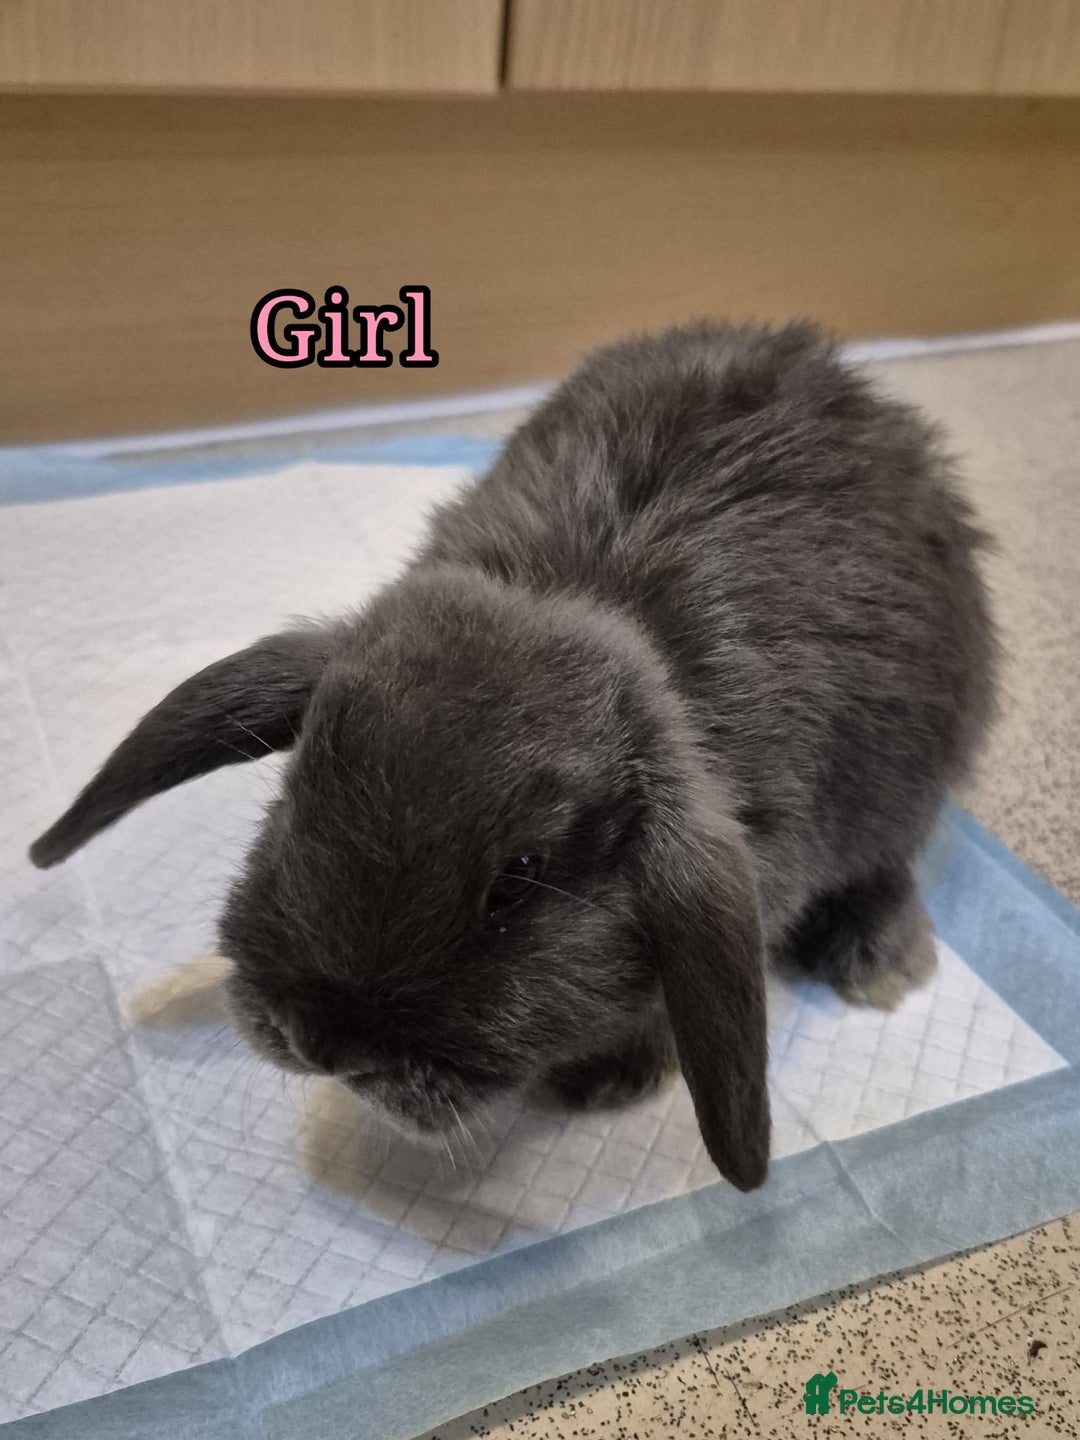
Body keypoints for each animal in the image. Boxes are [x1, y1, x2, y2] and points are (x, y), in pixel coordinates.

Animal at [29, 321, 997, 1192]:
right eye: (298, 792)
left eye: (518, 881)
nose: (325, 1043)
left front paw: (607, 1080)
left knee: (890, 856)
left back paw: (876, 956)